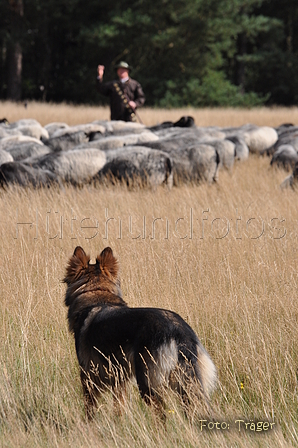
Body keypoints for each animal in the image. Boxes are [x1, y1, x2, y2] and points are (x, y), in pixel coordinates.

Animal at [63, 245, 217, 416]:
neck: (97, 295)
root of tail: (179, 332)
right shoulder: (119, 381)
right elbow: (119, 409)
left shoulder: (88, 377)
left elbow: (90, 411)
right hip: (187, 386)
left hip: (147, 384)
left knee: (161, 415)